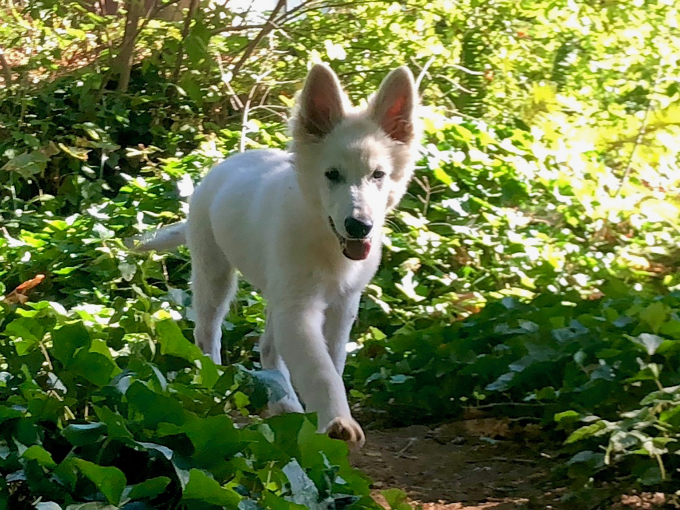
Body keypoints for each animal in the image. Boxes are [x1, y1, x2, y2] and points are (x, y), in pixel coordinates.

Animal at [134, 63, 420, 446]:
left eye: (378, 174)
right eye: (332, 174)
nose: (359, 226)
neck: (325, 239)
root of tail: (224, 166)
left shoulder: (342, 304)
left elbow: (332, 361)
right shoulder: (298, 310)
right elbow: (318, 369)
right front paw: (337, 422)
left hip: (275, 289)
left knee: (268, 347)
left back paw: (285, 405)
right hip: (215, 274)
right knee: (207, 333)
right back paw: (213, 384)